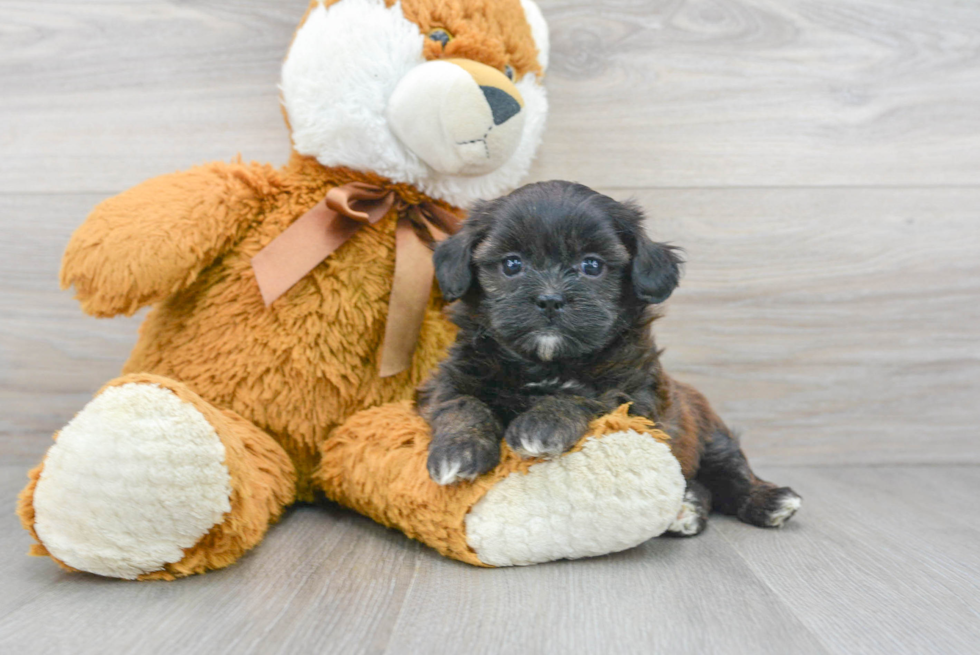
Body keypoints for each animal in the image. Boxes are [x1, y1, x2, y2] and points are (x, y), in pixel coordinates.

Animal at [418, 179, 800, 532]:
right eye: (512, 265)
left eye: (592, 265)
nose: (550, 299)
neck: (546, 363)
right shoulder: (446, 381)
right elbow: (462, 405)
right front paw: (458, 451)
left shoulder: (635, 397)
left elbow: (588, 397)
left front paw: (542, 423)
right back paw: (686, 506)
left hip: (712, 435)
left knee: (730, 472)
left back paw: (766, 500)